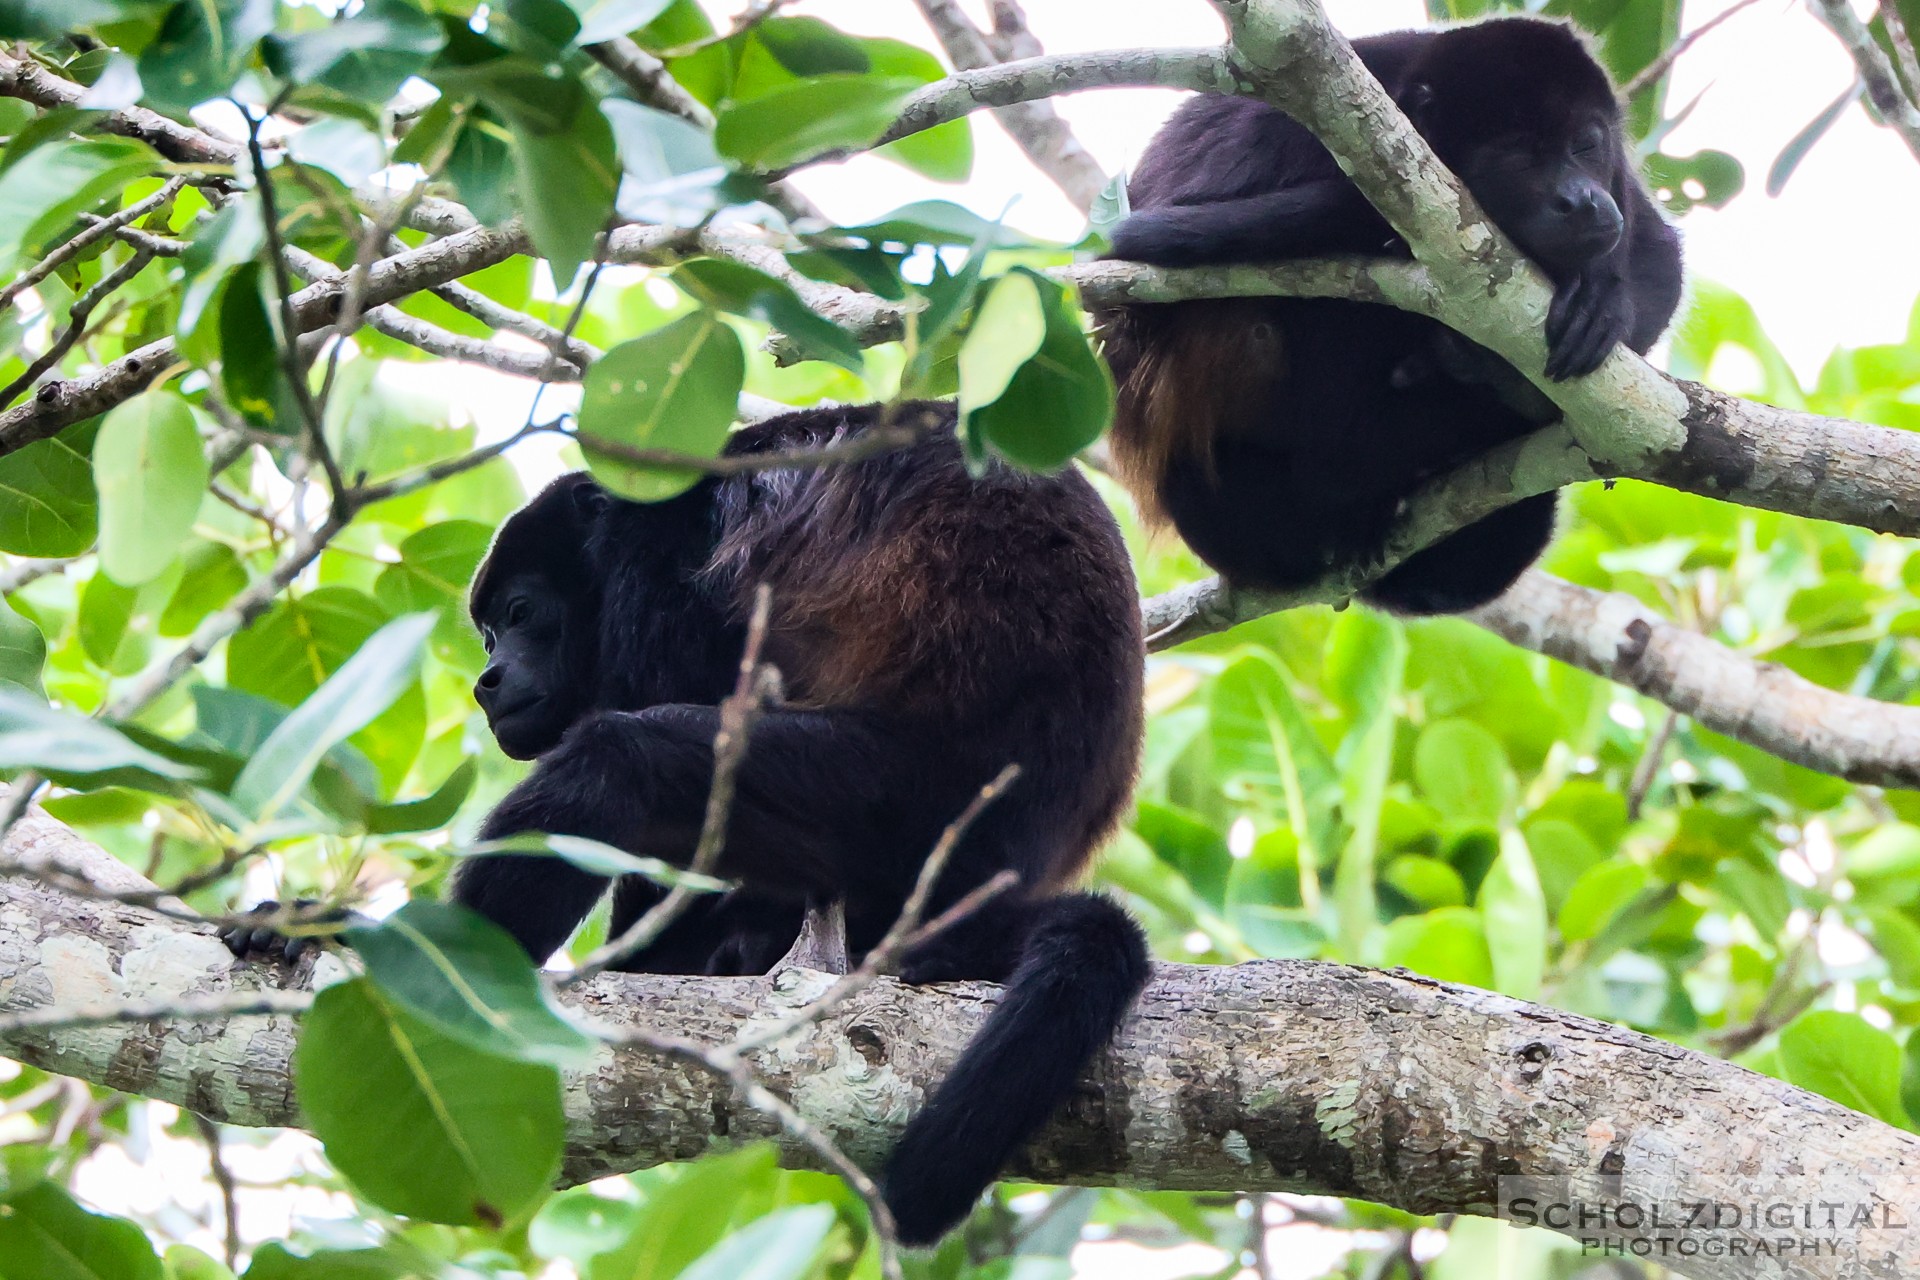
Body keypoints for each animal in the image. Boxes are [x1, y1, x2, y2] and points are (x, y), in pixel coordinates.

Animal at [232, 401, 1144, 1243]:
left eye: (521, 615)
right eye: (487, 631)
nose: (488, 679)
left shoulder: (661, 570)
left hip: (900, 798)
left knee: (624, 763)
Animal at [1098, 14, 1681, 614]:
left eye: (1585, 144)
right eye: (1518, 159)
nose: (1582, 201)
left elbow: (1660, 259)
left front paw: (1603, 301)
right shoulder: (1285, 131)